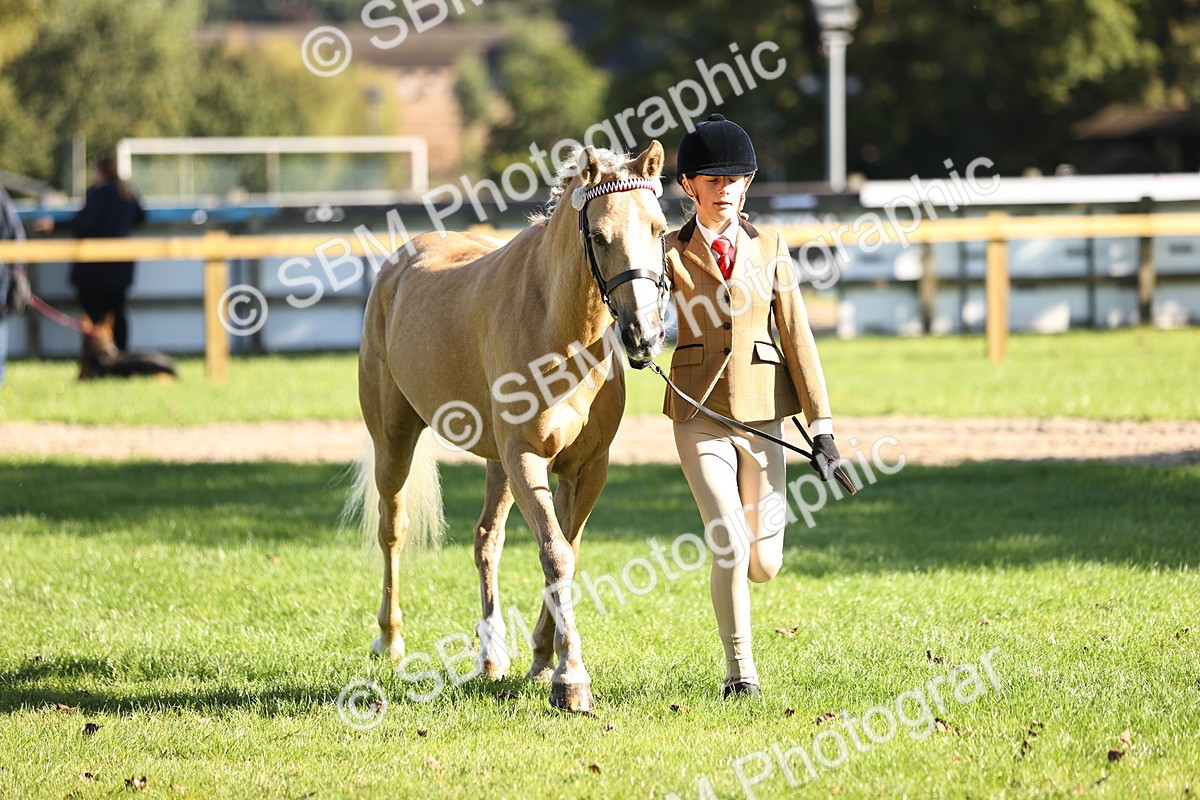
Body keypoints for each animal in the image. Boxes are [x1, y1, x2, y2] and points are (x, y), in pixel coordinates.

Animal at [348, 141, 672, 713]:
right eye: (598, 235)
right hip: (394, 441)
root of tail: (400, 262)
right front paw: (571, 678)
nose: (644, 336)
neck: (561, 335)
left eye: (659, 229)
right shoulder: (525, 457)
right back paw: (389, 640)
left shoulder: (586, 470)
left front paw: (542, 661)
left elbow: (566, 552)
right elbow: (556, 555)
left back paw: (492, 658)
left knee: (486, 541)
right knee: (393, 530)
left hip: (495, 464)